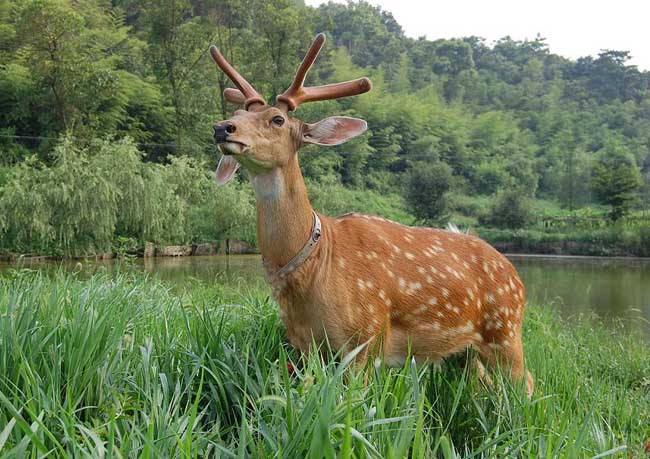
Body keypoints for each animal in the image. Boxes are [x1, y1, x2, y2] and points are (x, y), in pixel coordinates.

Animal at [210, 34, 536, 398]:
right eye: (237, 112)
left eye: (277, 120)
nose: (222, 128)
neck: (315, 263)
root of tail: (514, 272)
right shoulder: (303, 345)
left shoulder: (366, 335)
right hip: (464, 352)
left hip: (505, 328)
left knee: (525, 382)